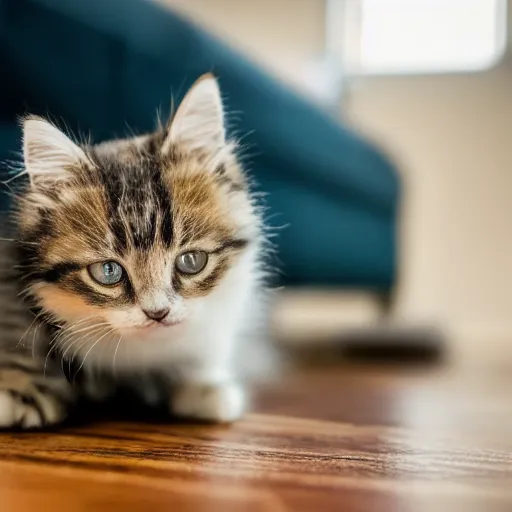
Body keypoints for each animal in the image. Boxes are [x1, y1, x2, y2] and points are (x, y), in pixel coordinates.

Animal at [0, 75, 266, 428]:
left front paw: (203, 386)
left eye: (191, 261)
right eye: (108, 271)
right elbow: (17, 334)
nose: (158, 313)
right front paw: (18, 389)